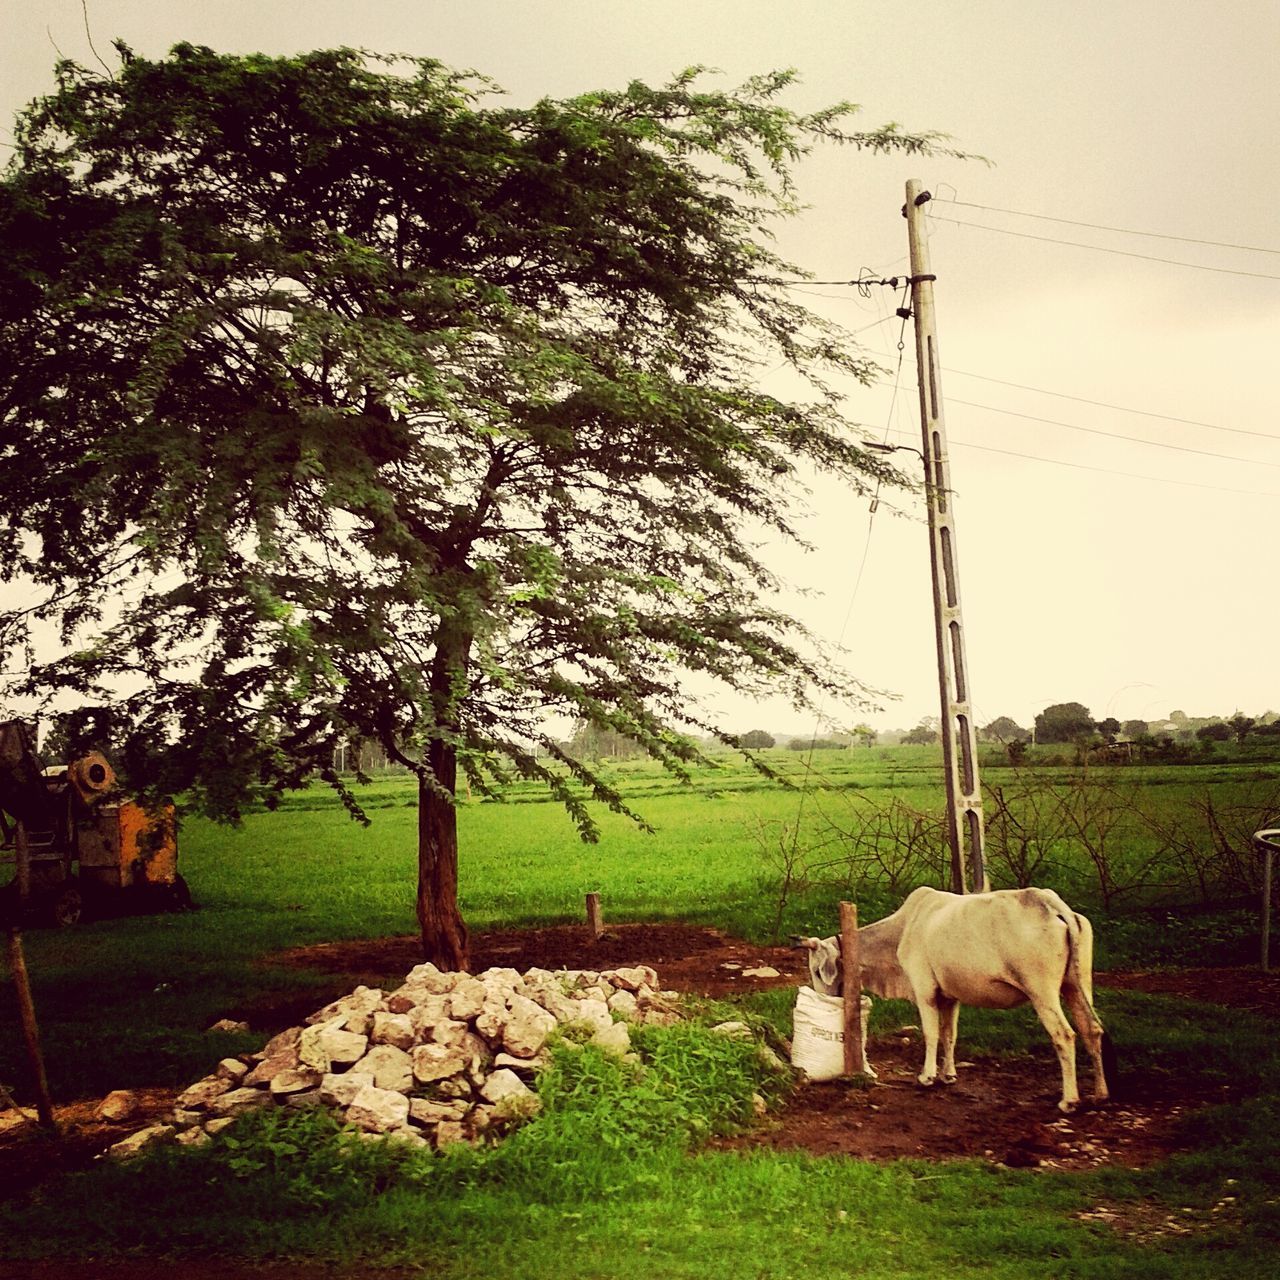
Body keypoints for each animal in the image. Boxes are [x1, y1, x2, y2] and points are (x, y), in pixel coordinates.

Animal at [798, 885, 1111, 1116]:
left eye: (817, 970)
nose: (823, 997)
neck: (903, 929)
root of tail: (1054, 905)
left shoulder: (924, 990)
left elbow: (932, 1033)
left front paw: (926, 1077)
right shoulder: (950, 997)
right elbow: (950, 1034)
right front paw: (948, 1075)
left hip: (1041, 991)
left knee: (1064, 1035)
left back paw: (1069, 1101)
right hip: (1076, 985)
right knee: (1092, 1029)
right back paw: (1100, 1094)